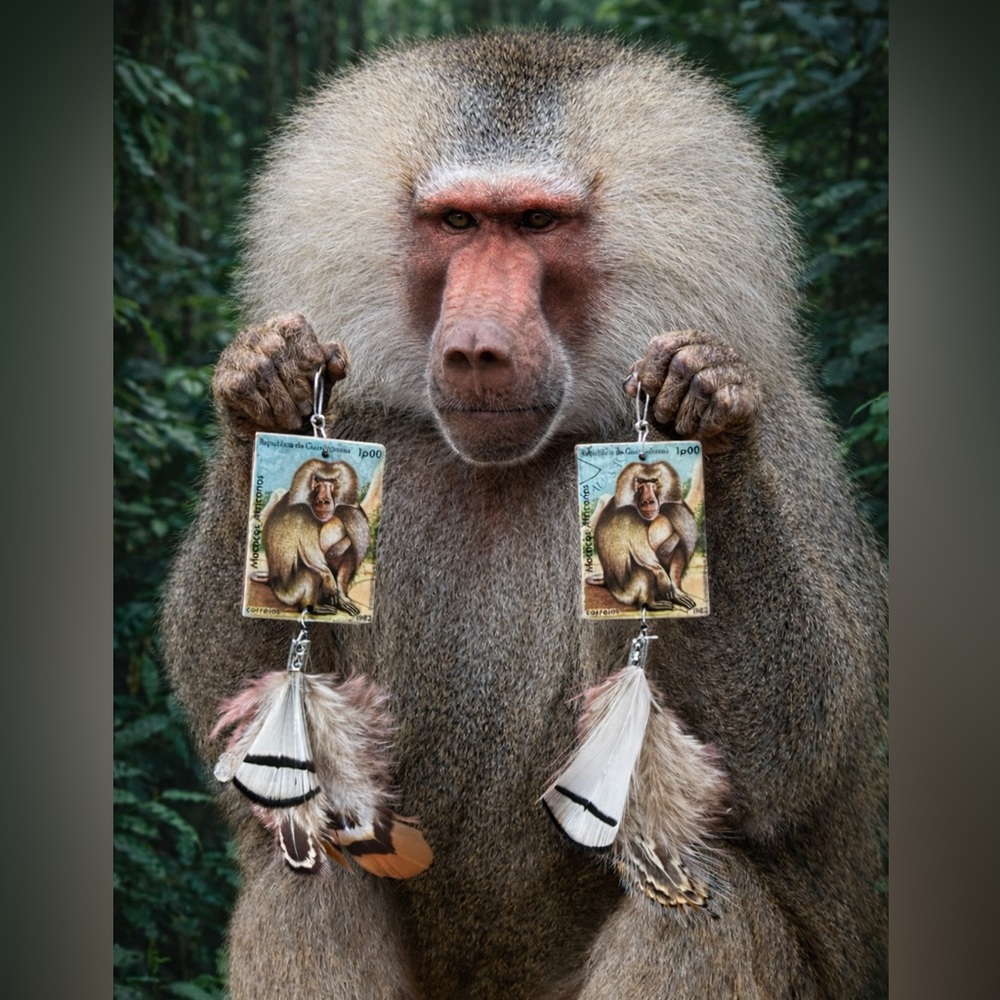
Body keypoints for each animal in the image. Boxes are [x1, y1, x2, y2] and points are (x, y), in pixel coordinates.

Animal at [261, 458, 369, 616]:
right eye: (318, 480)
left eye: (333, 481)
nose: (323, 501)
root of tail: (271, 582)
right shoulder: (302, 516)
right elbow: (311, 554)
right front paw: (330, 582)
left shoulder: (352, 509)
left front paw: (340, 547)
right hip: (290, 593)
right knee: (312, 572)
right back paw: (313, 607)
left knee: (349, 554)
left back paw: (341, 599)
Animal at [587, 460, 699, 611]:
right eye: (640, 482)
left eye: (654, 481)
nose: (648, 501)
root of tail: (607, 582)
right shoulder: (630, 517)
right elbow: (642, 552)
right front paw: (663, 578)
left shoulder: (675, 506)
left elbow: (680, 540)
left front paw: (672, 541)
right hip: (627, 590)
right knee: (646, 572)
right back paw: (652, 603)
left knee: (678, 546)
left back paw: (676, 593)